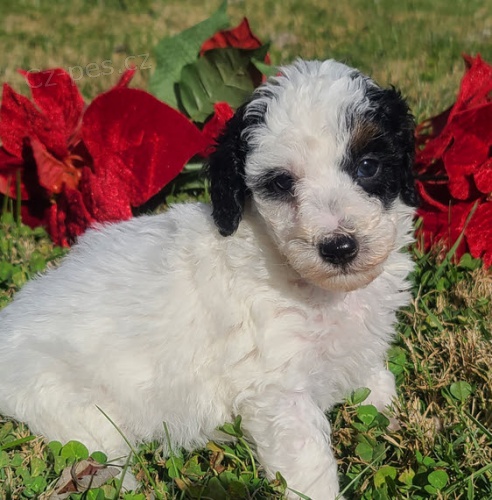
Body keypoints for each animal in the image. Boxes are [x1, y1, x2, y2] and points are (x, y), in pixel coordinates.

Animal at [0, 59, 418, 500]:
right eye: (282, 183)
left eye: (368, 166)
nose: (339, 247)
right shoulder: (279, 390)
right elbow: (309, 462)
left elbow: (373, 375)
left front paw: (389, 412)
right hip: (64, 397)